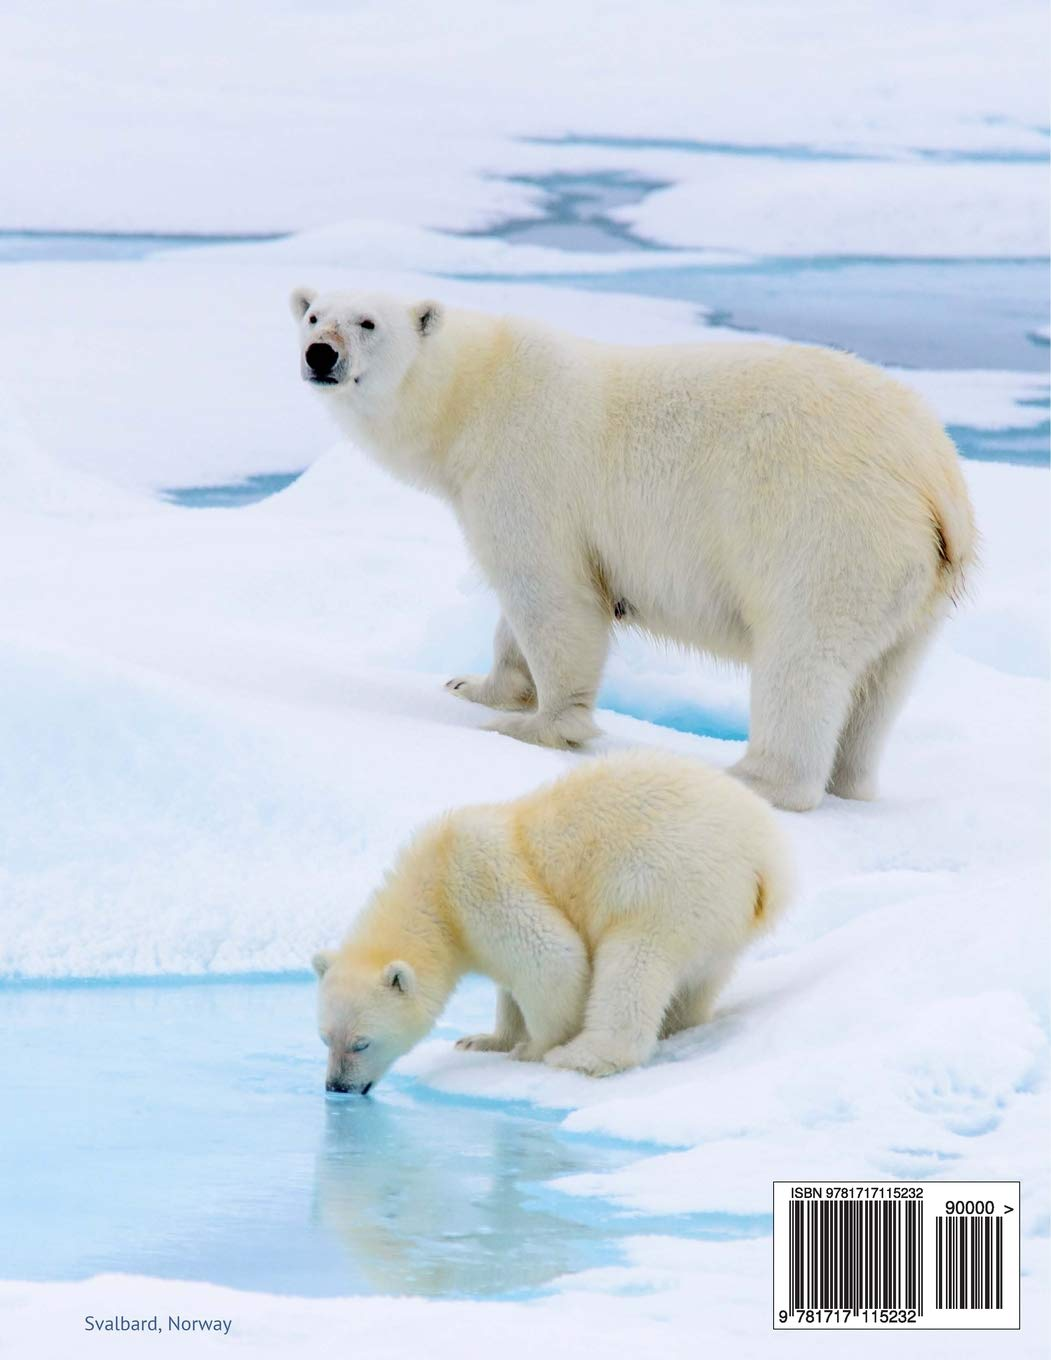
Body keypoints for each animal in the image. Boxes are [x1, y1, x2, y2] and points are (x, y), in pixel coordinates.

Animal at [291, 287, 976, 812]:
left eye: (367, 321)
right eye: (313, 314)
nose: (319, 354)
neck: (476, 393)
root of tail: (935, 476)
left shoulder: (527, 470)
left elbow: (552, 596)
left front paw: (535, 726)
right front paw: (473, 686)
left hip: (829, 533)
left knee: (805, 658)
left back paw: (753, 778)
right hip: (912, 584)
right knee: (882, 683)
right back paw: (850, 782)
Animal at [311, 749, 792, 1085]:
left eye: (361, 1043)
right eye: (324, 1038)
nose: (337, 1087)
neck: (434, 883)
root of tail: (766, 862)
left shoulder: (480, 881)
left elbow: (553, 959)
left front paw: (531, 1049)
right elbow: (510, 985)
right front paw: (483, 1039)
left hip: (665, 883)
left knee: (633, 964)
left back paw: (583, 1056)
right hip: (719, 920)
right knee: (700, 980)